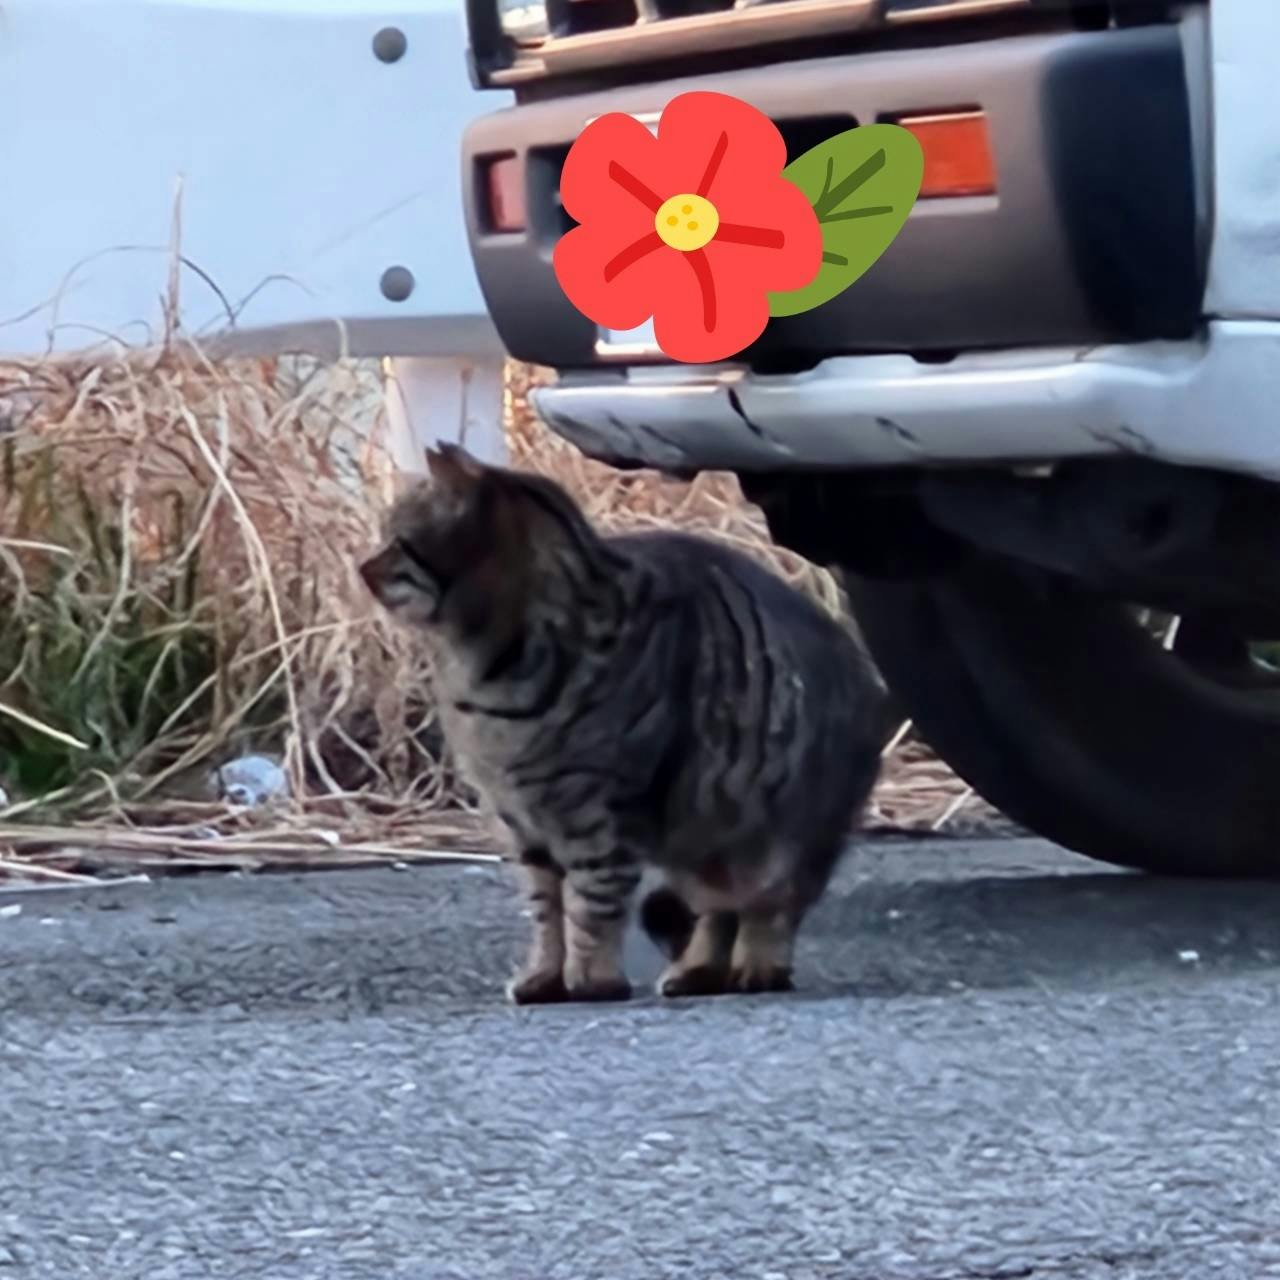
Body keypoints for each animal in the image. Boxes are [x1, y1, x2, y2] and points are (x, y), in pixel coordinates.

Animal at [359, 443, 886, 1003]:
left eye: (396, 540)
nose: (363, 568)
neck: (482, 672)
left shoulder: (603, 815)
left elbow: (591, 905)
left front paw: (592, 979)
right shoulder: (522, 823)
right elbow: (547, 911)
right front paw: (544, 976)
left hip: (779, 845)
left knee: (771, 910)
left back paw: (758, 968)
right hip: (703, 851)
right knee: (717, 913)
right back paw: (696, 972)